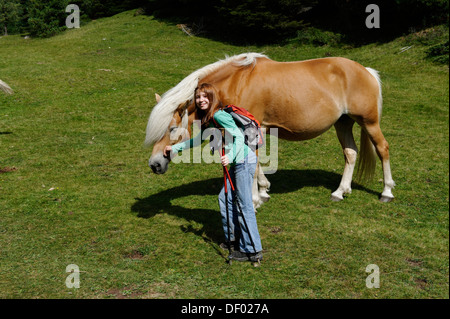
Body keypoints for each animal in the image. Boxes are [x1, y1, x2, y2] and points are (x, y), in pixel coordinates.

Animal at [146, 52, 396, 208]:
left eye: (172, 128)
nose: (155, 164)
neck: (237, 82)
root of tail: (366, 71)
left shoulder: (250, 130)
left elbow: (252, 162)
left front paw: (255, 198)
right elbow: (255, 165)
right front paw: (264, 190)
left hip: (369, 122)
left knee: (382, 148)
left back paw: (386, 192)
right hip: (343, 122)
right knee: (351, 153)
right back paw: (340, 191)